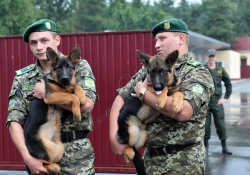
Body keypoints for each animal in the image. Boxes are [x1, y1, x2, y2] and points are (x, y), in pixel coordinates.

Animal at [24, 44, 86, 174]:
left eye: (69, 68)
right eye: (58, 68)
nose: (65, 78)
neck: (63, 85)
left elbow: (76, 86)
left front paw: (82, 96)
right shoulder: (50, 96)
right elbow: (72, 96)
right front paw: (77, 113)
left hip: (59, 148)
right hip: (47, 150)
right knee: (40, 164)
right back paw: (52, 167)